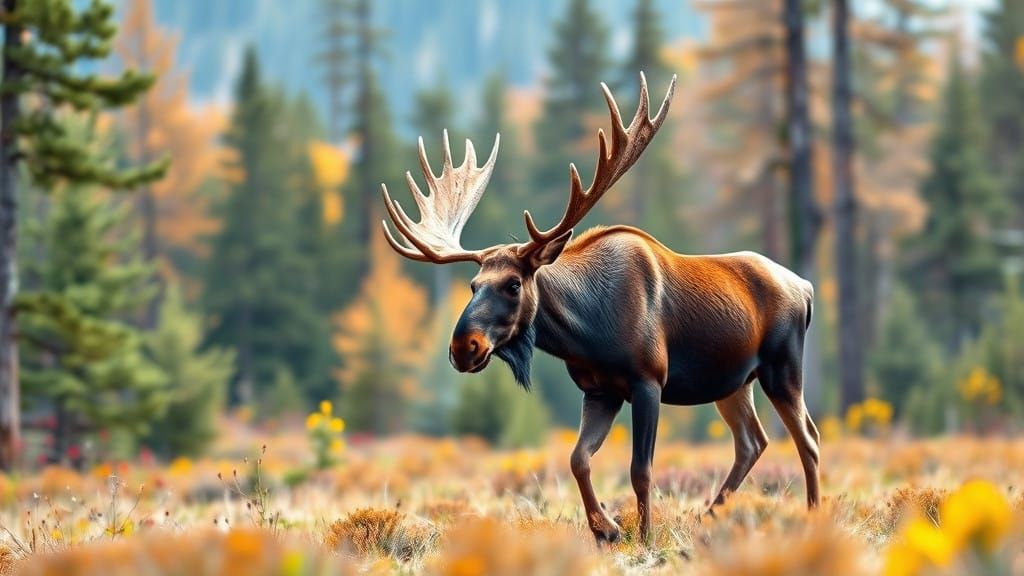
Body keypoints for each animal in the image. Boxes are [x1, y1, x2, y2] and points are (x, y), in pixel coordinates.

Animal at [379, 73, 819, 544]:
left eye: (513, 284)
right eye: (473, 285)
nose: (464, 347)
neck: (586, 334)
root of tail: (806, 287)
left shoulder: (649, 380)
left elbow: (640, 470)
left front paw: (643, 536)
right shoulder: (599, 390)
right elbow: (578, 459)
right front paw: (605, 528)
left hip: (781, 367)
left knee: (807, 439)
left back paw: (813, 514)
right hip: (734, 381)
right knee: (753, 441)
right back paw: (711, 515)